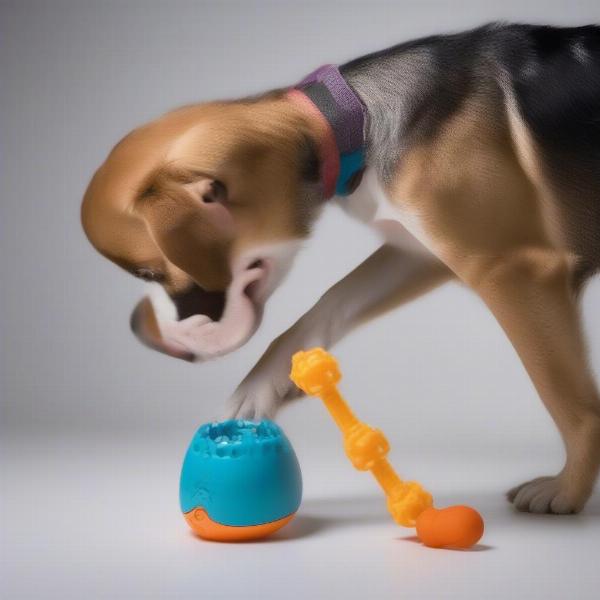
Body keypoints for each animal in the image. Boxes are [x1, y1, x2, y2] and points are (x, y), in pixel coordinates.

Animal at [82, 24, 600, 516]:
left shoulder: (516, 269)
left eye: (149, 274)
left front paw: (568, 489)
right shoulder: (419, 253)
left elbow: (566, 398)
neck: (351, 120)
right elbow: (323, 307)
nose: (143, 337)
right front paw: (265, 384)